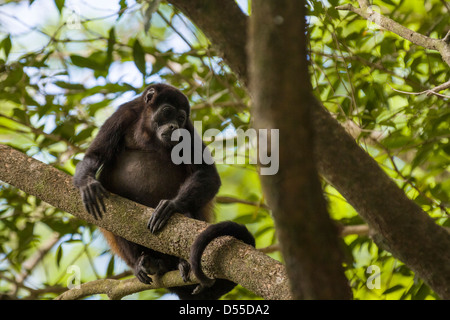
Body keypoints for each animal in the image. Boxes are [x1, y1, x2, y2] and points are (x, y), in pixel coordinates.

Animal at [75, 84, 255, 298]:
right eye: (167, 112)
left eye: (181, 118)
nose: (173, 127)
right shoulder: (122, 115)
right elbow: (94, 156)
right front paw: (87, 183)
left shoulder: (188, 130)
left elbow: (208, 174)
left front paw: (171, 206)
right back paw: (145, 263)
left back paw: (182, 263)